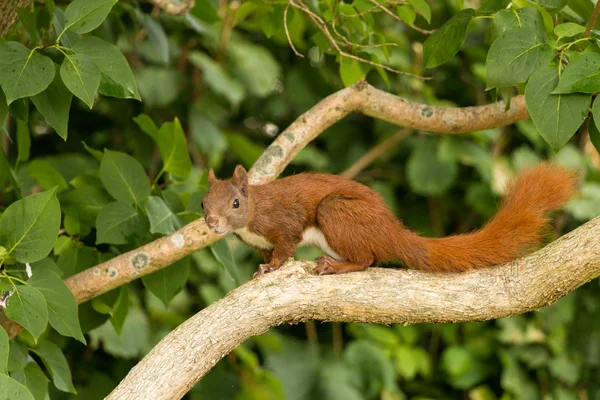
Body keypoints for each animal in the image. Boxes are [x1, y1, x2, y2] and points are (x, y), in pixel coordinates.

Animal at [200, 164, 576, 276]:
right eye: (203, 202)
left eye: (236, 202)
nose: (213, 223)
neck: (253, 216)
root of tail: (390, 232)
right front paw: (262, 266)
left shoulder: (285, 223)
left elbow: (285, 247)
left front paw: (271, 267)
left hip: (336, 213)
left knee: (367, 259)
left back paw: (335, 266)